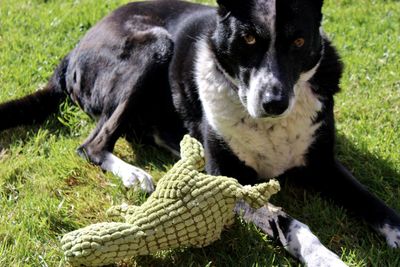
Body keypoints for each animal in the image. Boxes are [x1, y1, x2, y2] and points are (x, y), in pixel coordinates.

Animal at [0, 0, 400, 264]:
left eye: (299, 42)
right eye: (248, 40)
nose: (274, 103)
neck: (268, 126)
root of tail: (75, 48)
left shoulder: (325, 165)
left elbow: (373, 202)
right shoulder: (230, 182)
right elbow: (287, 221)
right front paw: (325, 257)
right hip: (155, 45)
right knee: (92, 144)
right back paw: (134, 174)